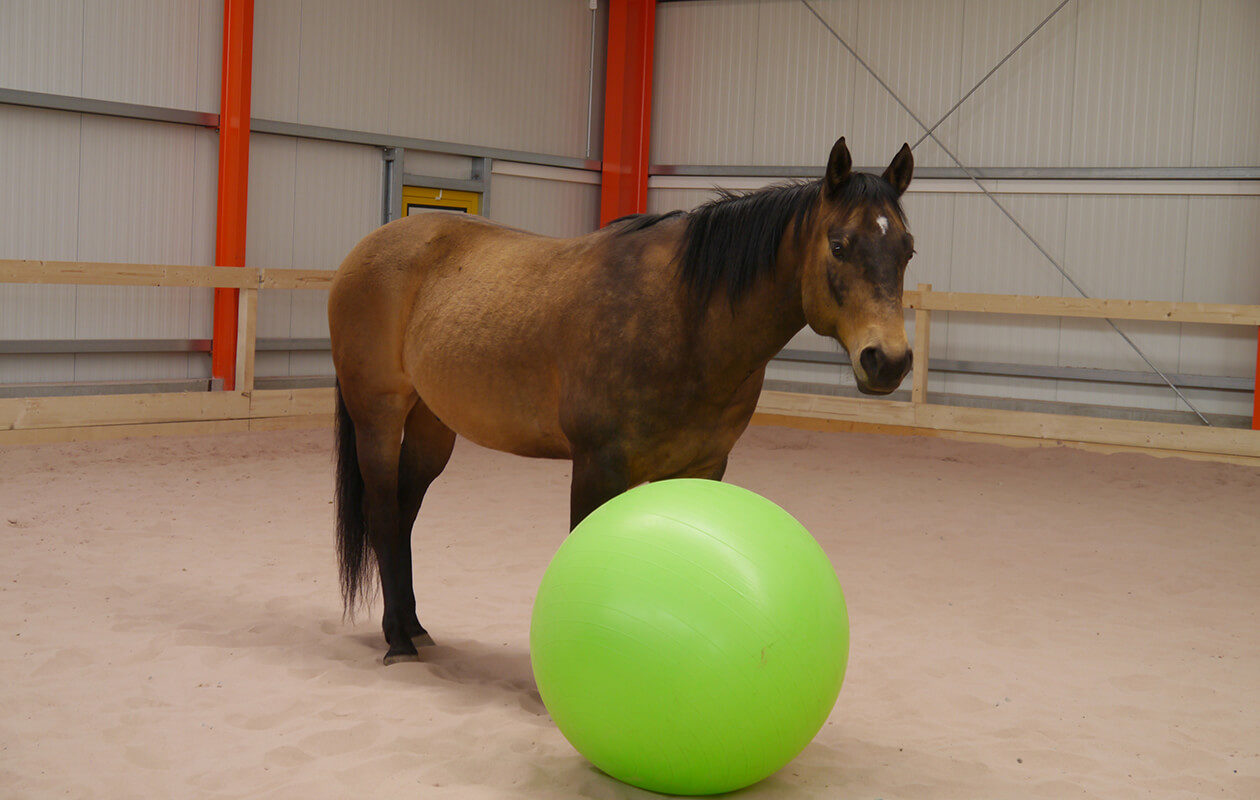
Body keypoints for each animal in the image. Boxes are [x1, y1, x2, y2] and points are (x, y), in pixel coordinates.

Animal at [330, 137, 912, 665]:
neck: (683, 316)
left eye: (907, 248)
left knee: (404, 514)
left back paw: (414, 626)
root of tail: (368, 249)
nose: (889, 360)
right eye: (839, 245)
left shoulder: (704, 467)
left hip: (432, 424)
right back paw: (398, 641)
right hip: (378, 415)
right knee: (382, 512)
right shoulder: (598, 465)